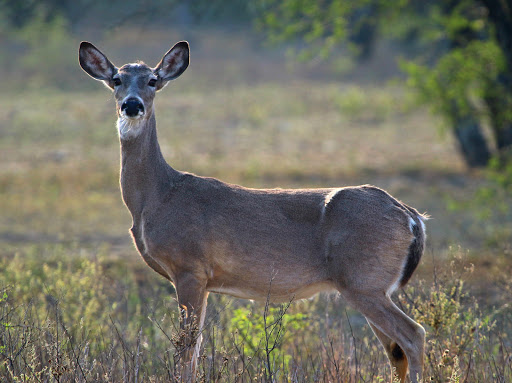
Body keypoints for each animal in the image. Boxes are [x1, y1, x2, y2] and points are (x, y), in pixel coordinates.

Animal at [78, 41, 426, 383]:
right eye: (117, 80)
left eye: (152, 80)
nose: (132, 105)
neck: (157, 197)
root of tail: (411, 215)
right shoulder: (202, 278)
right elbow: (195, 346)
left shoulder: (190, 267)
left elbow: (186, 349)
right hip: (368, 284)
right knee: (395, 352)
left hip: (363, 280)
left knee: (414, 335)